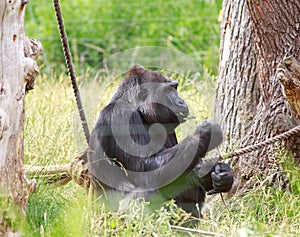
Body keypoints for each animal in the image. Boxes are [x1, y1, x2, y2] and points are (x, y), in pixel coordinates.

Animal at [88, 64, 233, 215]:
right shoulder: (119, 116)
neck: (138, 109)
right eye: (168, 90)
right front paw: (204, 134)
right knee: (147, 191)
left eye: (175, 88)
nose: (181, 101)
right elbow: (146, 170)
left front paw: (221, 175)